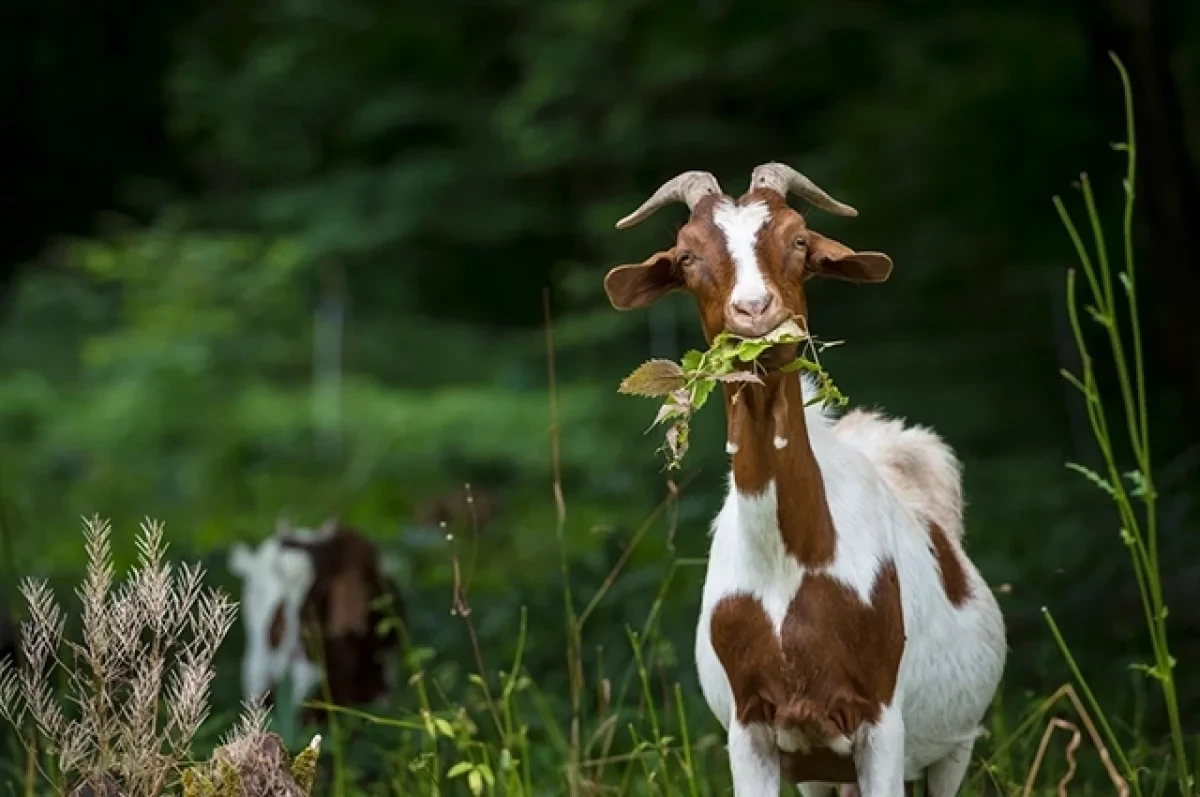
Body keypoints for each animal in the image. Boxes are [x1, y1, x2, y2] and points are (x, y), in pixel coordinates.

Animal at [603, 164, 1006, 796]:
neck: (792, 562)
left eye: (798, 239)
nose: (754, 309)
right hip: (821, 768)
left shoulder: (881, 722)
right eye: (687, 255)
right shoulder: (753, 727)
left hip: (955, 744)